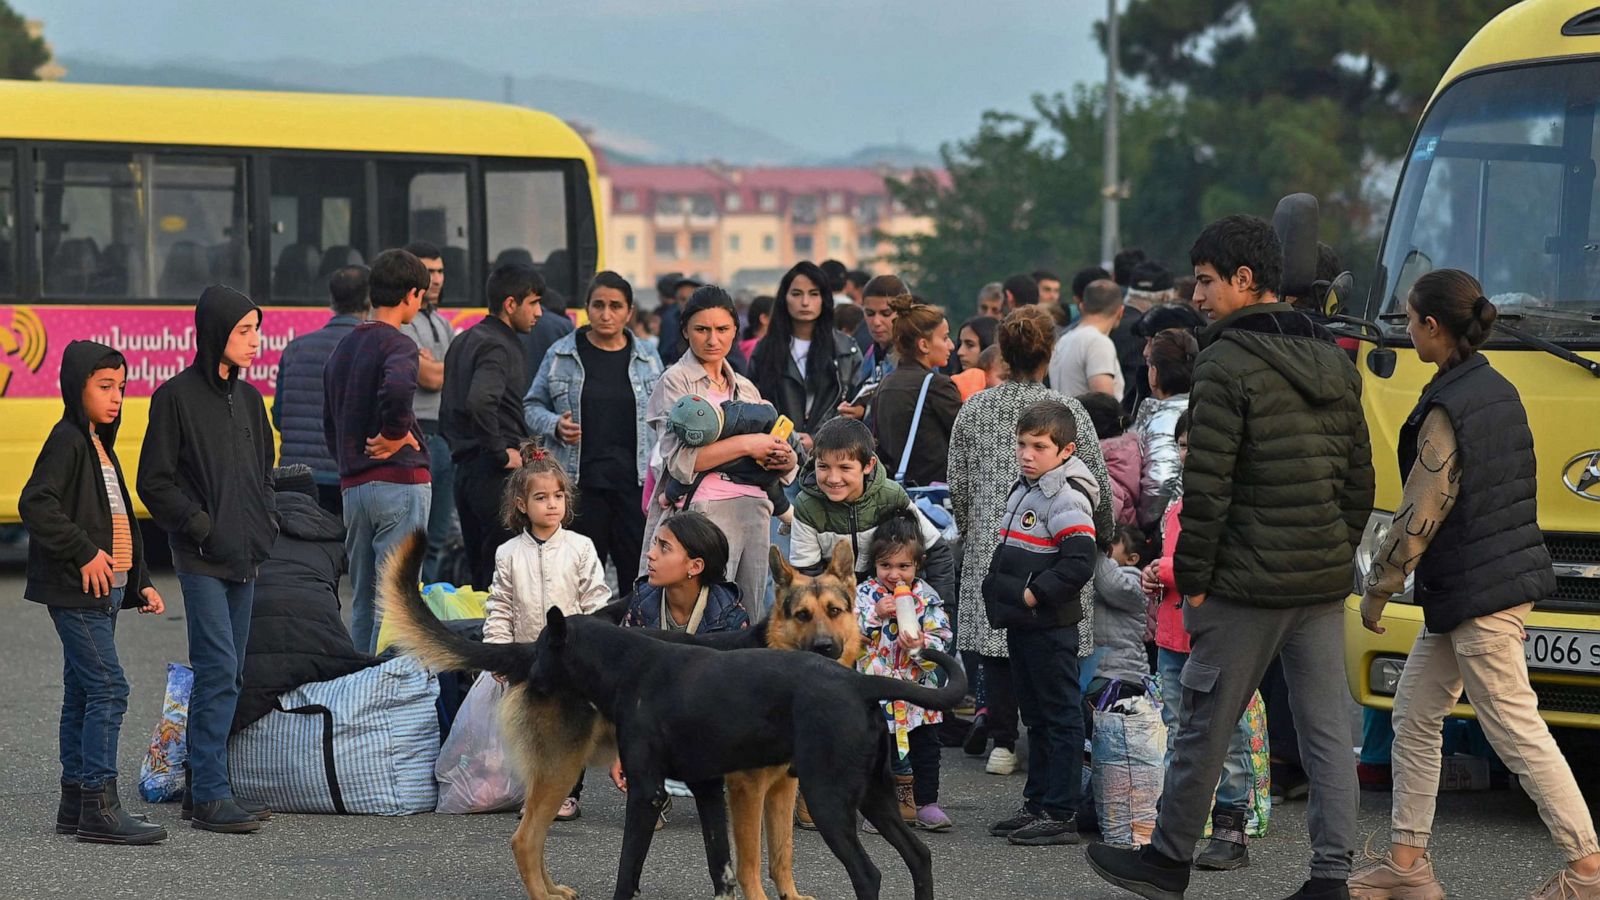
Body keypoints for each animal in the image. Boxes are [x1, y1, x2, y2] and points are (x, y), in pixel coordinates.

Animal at [380, 531, 960, 896]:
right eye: (801, 614)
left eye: (836, 612)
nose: (535, 680)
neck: (627, 662)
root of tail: (859, 681)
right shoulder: (730, 790)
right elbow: (745, 868)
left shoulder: (681, 791)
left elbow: (747, 866)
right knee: (527, 839)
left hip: (838, 801)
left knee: (877, 873)